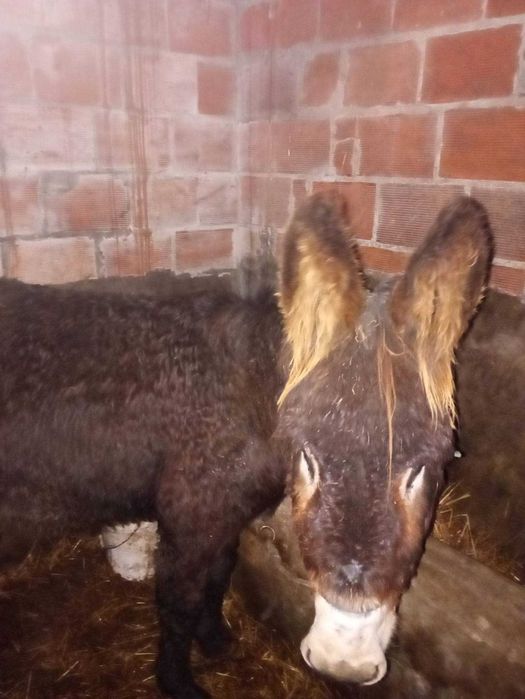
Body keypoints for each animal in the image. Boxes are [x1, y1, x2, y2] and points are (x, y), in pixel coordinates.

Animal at [0, 192, 492, 698]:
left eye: (422, 468)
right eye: (307, 457)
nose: (344, 658)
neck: (248, 397)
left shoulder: (225, 516)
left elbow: (219, 577)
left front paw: (216, 639)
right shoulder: (190, 519)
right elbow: (179, 601)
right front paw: (178, 682)